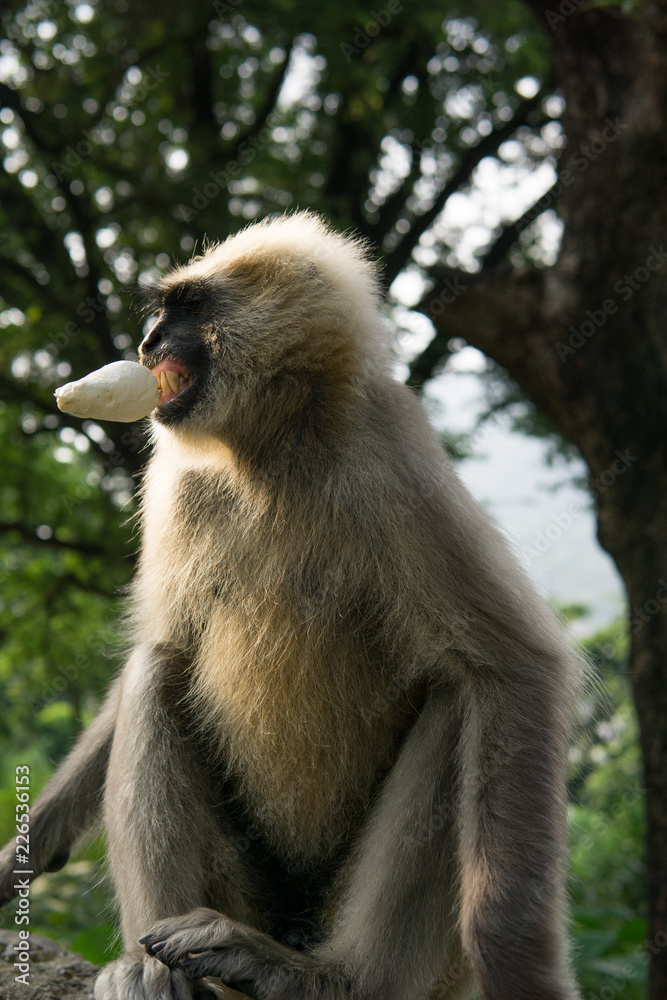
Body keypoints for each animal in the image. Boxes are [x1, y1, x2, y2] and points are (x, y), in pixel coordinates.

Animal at [0, 212, 582, 1000]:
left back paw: (335, 979)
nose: (148, 343)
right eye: (160, 314)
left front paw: (519, 970)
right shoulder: (179, 479)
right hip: (247, 888)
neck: (270, 450)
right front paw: (23, 853)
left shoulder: (386, 444)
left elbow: (514, 667)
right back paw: (152, 967)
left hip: (415, 956)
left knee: (457, 701)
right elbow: (161, 648)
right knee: (159, 669)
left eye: (186, 309)